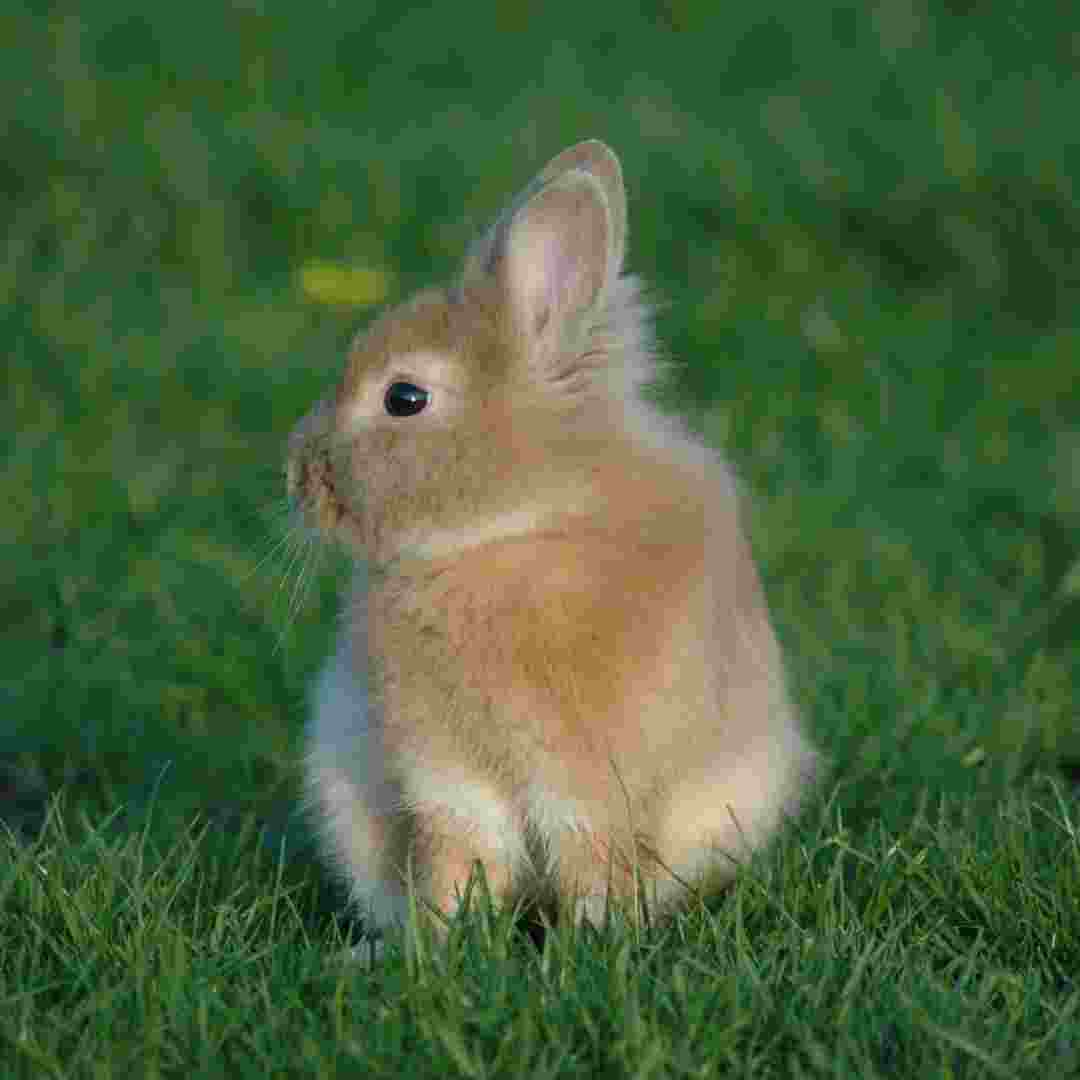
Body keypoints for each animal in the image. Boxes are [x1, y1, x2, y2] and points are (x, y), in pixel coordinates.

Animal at [289, 139, 816, 933]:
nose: (297, 472)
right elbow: (458, 860)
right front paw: (435, 941)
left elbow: (588, 857)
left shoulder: (589, 782)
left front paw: (596, 939)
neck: (512, 526)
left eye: (404, 398)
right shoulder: (449, 782)